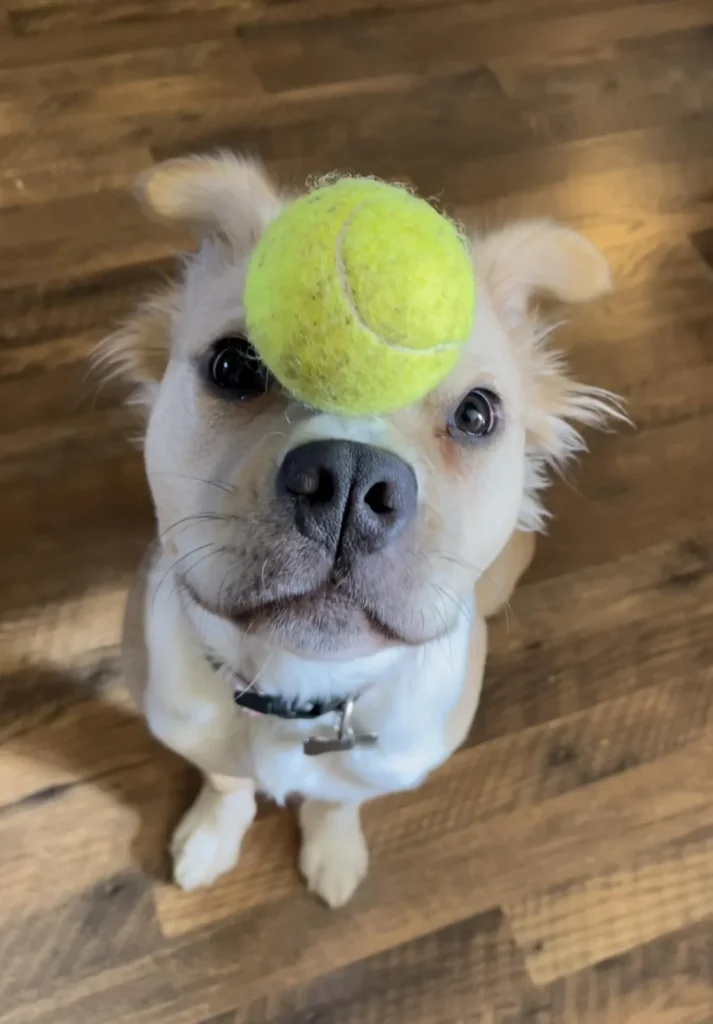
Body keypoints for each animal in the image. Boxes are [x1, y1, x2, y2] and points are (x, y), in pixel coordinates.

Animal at [102, 151, 622, 905]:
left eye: (476, 414)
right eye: (233, 365)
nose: (348, 481)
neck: (298, 686)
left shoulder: (381, 766)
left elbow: (337, 799)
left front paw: (333, 851)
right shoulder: (186, 725)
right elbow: (225, 780)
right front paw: (212, 835)